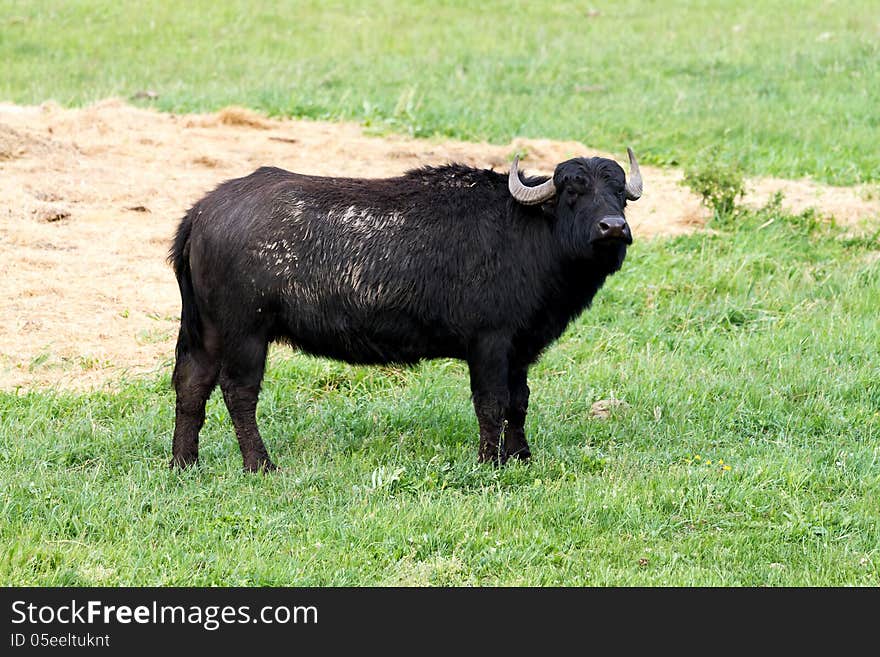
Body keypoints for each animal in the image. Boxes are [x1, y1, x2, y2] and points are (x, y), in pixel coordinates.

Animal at [168, 149, 644, 468]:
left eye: (618, 193)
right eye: (572, 192)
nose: (613, 227)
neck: (528, 234)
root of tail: (203, 210)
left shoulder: (521, 349)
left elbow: (519, 402)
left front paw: (522, 456)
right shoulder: (489, 342)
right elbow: (491, 402)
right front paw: (490, 462)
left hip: (207, 331)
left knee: (191, 385)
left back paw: (184, 462)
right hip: (246, 333)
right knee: (239, 392)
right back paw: (260, 464)